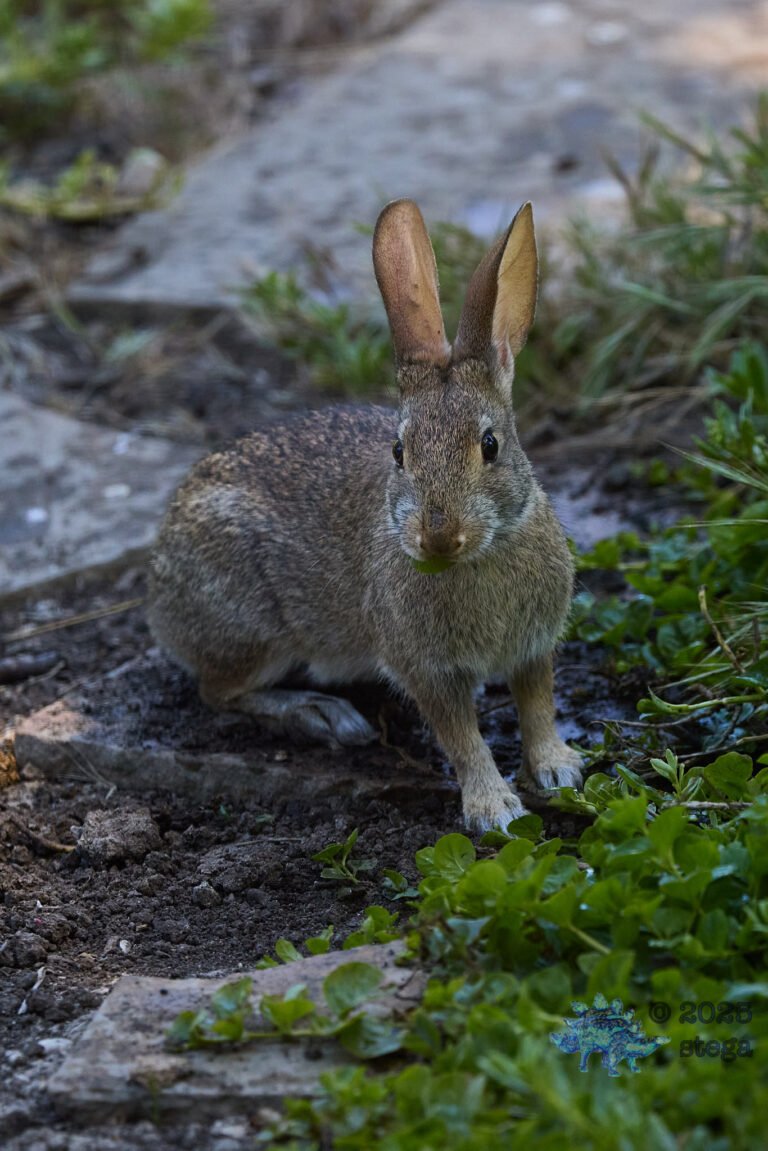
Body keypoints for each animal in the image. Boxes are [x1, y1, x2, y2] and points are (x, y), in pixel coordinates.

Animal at [147, 198, 583, 831]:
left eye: (490, 445)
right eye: (399, 452)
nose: (438, 536)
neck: (481, 555)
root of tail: (156, 593)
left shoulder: (533, 647)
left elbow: (537, 707)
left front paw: (558, 769)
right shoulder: (425, 669)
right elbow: (462, 738)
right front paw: (494, 810)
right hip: (253, 627)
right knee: (217, 691)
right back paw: (322, 714)